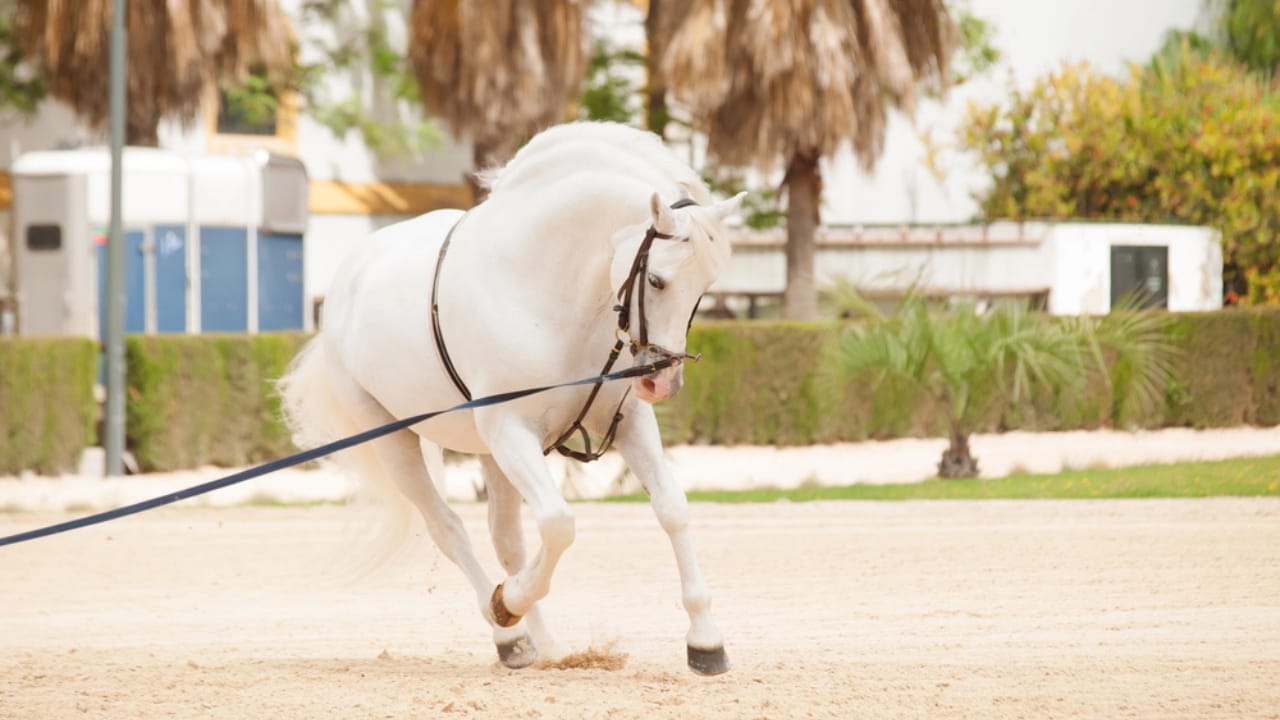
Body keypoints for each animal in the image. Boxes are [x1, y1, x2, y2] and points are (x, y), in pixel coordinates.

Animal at [278, 121, 744, 675]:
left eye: (705, 287)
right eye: (656, 280)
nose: (660, 382)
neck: (545, 289)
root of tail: (348, 277)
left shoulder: (627, 422)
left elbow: (671, 508)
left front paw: (706, 641)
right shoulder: (510, 432)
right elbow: (560, 525)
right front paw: (508, 602)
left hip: (491, 455)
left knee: (507, 539)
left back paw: (541, 646)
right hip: (398, 442)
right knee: (450, 529)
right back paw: (507, 626)